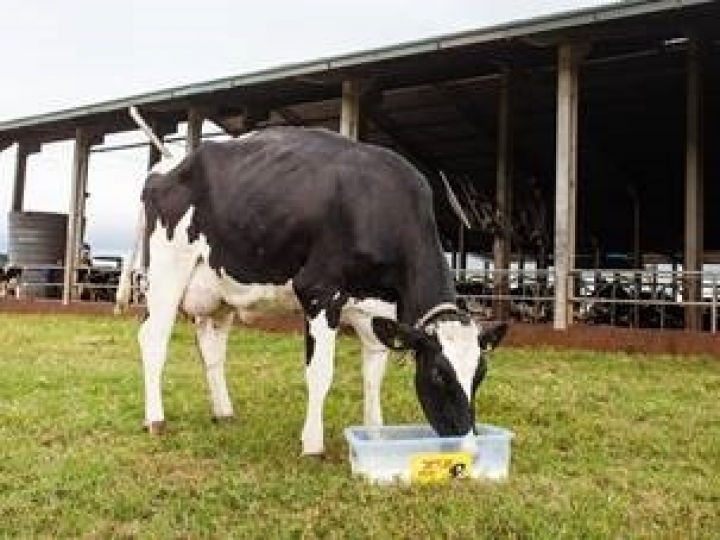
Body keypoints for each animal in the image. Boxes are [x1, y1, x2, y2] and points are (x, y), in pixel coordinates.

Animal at [115, 120, 507, 456]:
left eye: (481, 374)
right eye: (439, 375)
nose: (469, 446)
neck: (378, 204)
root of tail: (167, 163)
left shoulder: (377, 309)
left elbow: (373, 376)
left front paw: (376, 437)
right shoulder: (319, 291)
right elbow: (320, 374)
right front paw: (313, 444)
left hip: (219, 287)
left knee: (211, 349)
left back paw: (223, 412)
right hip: (167, 271)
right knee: (153, 338)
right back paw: (155, 420)